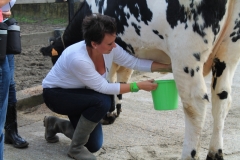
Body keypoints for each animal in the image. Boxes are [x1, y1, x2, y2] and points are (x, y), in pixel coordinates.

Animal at [40, 0, 240, 159]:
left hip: (185, 53)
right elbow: (122, 80)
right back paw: (215, 153)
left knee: (195, 105)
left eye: (55, 59)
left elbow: (110, 80)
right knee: (222, 100)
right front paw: (116, 110)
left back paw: (188, 155)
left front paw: (109, 114)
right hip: (228, 51)